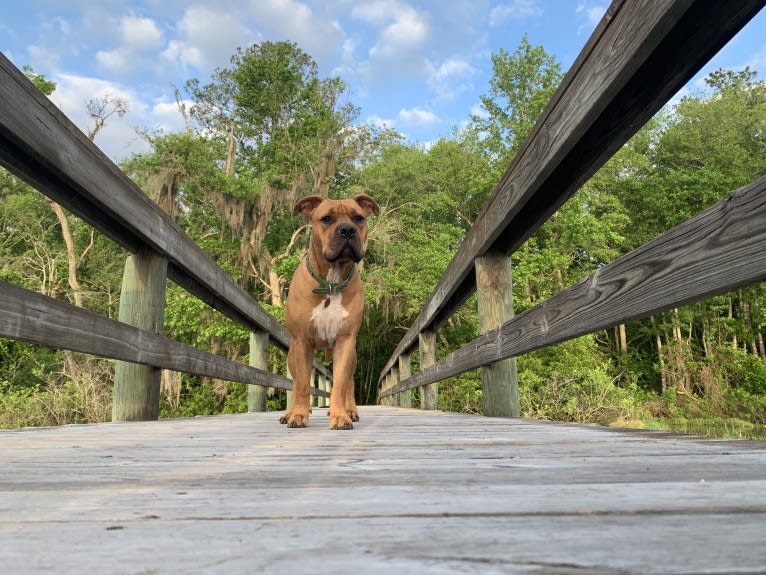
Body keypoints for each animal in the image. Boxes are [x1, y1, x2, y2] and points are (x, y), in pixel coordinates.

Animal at [282, 196, 380, 430]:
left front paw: (340, 416)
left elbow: (340, 385)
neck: (330, 283)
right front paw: (298, 414)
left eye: (358, 218)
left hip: (353, 355)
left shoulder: (345, 341)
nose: (347, 230)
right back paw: (290, 412)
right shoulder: (302, 342)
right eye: (326, 218)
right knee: (297, 381)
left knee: (349, 384)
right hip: (292, 354)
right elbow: (302, 384)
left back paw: (350, 410)